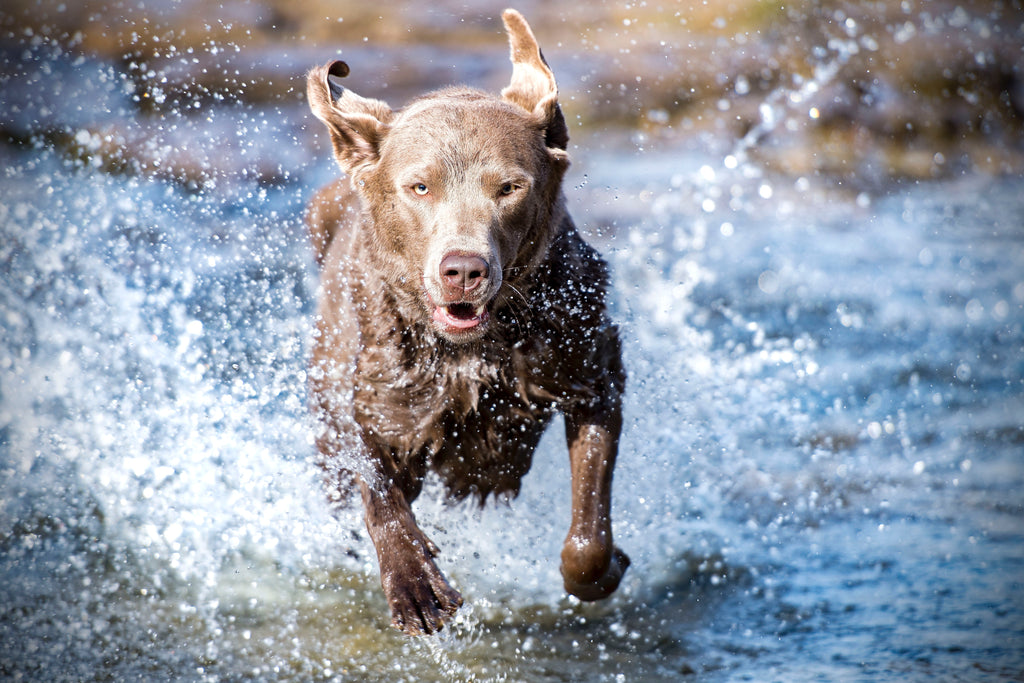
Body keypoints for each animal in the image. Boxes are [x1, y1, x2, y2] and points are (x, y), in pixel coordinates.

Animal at [301, 6, 622, 634]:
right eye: (420, 187)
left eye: (510, 187)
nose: (464, 270)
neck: (472, 351)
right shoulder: (378, 395)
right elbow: (377, 486)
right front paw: (415, 584)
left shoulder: (590, 370)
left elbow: (588, 532)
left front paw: (604, 567)